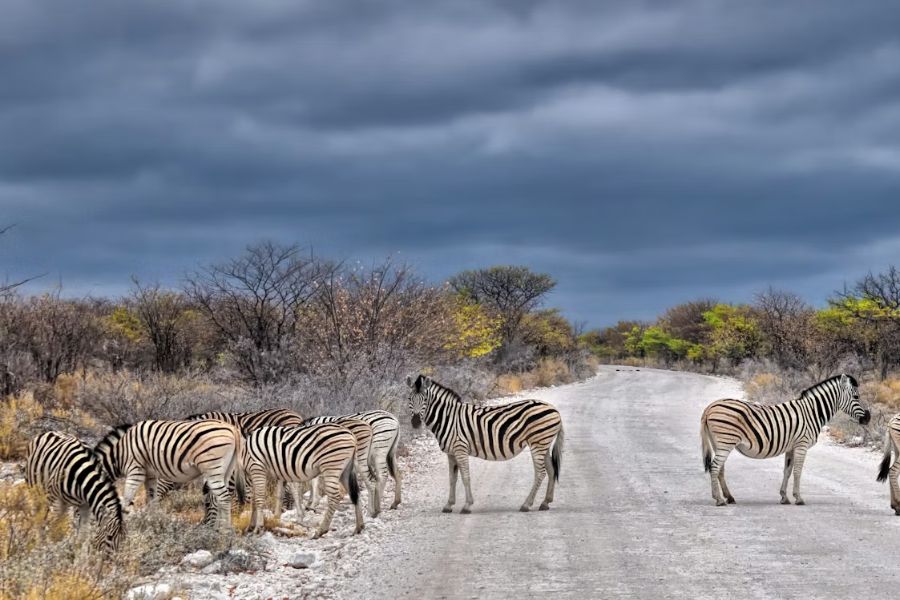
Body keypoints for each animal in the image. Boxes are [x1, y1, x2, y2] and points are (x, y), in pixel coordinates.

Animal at [94, 419, 245, 530]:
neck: (120, 453)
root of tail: (233, 429)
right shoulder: (150, 475)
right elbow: (152, 500)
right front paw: (151, 524)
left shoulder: (135, 470)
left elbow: (126, 500)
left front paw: (123, 526)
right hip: (226, 470)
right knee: (219, 498)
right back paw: (217, 528)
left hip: (212, 469)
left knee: (224, 498)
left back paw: (225, 530)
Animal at [406, 374, 564, 514]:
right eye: (409, 398)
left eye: (425, 399)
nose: (415, 422)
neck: (447, 418)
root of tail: (554, 409)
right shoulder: (451, 453)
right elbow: (452, 479)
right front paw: (448, 505)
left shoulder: (460, 448)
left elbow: (465, 477)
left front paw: (467, 506)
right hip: (543, 443)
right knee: (551, 470)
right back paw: (545, 502)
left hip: (538, 443)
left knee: (540, 473)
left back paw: (526, 504)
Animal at [701, 373, 870, 506]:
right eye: (856, 397)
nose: (867, 418)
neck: (812, 412)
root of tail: (710, 407)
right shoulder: (802, 445)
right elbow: (797, 471)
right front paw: (799, 498)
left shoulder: (791, 447)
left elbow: (787, 471)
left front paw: (784, 497)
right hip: (726, 442)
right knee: (715, 467)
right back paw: (719, 500)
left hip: (719, 443)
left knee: (720, 469)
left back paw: (729, 497)